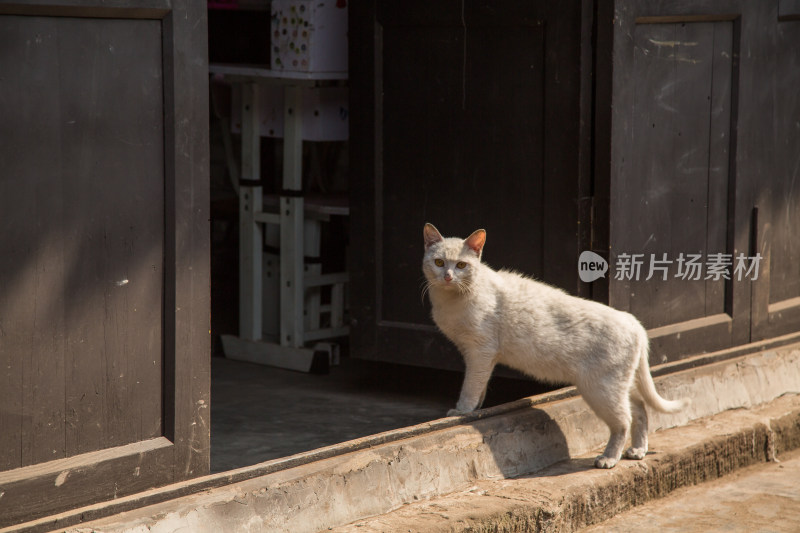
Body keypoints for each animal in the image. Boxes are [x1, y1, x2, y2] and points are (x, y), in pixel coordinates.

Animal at [422, 222, 692, 468]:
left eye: (461, 265)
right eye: (439, 263)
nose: (447, 276)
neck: (450, 300)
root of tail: (633, 321)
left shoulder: (480, 351)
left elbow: (469, 387)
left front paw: (462, 411)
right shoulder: (479, 356)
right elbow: (480, 386)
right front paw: (477, 408)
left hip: (602, 389)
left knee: (624, 421)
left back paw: (609, 458)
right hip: (621, 385)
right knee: (641, 410)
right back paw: (637, 451)